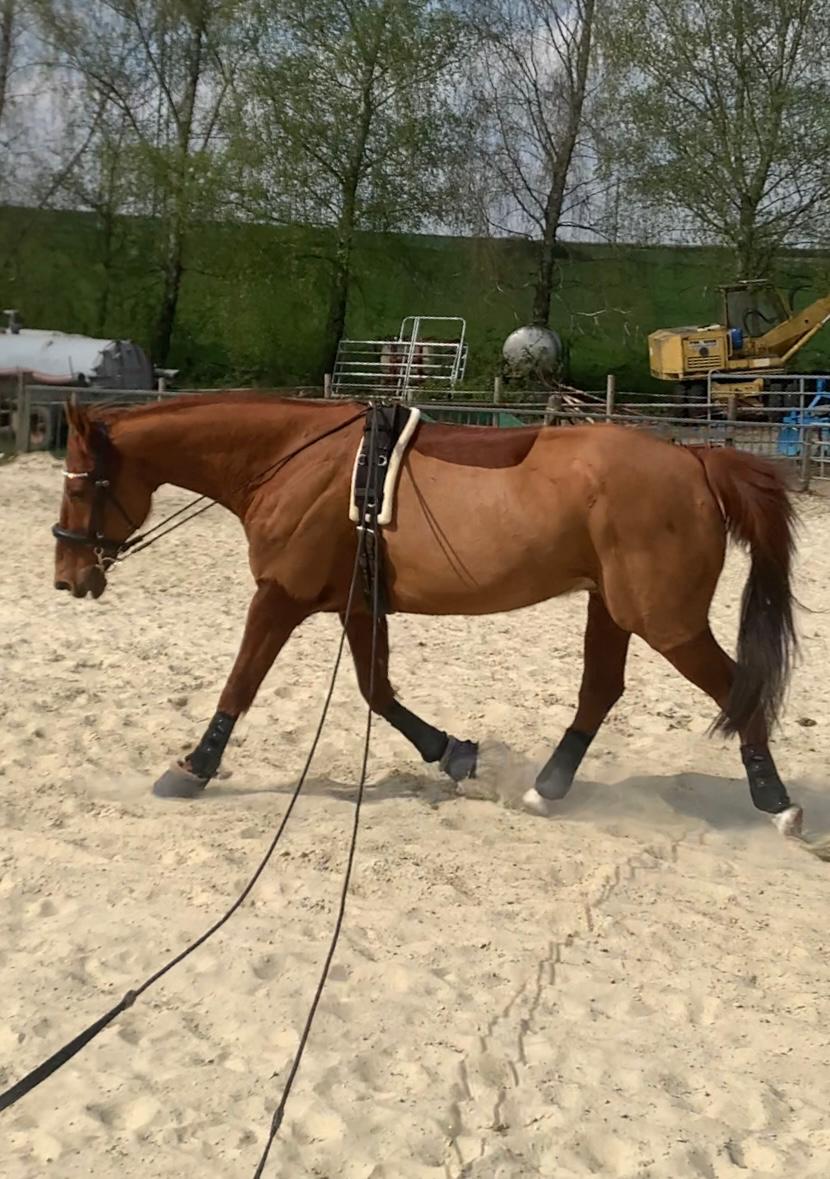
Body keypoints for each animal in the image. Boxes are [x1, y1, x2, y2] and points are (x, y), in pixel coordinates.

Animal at [53, 392, 802, 838]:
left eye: (84, 485)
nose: (68, 577)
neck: (294, 461)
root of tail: (694, 459)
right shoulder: (357, 603)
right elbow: (376, 689)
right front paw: (454, 753)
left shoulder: (280, 597)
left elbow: (241, 683)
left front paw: (193, 768)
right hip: (612, 608)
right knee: (600, 690)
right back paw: (548, 787)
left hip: (664, 621)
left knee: (734, 687)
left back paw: (777, 802)